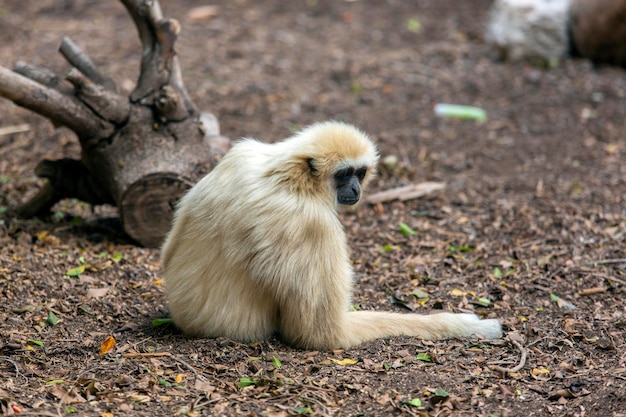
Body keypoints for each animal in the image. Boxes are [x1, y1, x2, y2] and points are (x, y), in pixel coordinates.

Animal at [161, 120, 502, 348]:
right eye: (343, 174)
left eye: (360, 173)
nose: (356, 189)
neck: (286, 176)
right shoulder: (310, 224)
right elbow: (320, 333)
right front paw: (462, 324)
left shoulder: (241, 154)